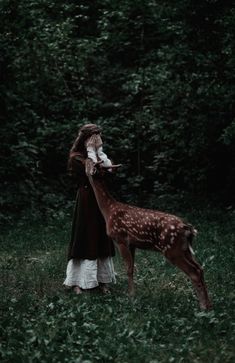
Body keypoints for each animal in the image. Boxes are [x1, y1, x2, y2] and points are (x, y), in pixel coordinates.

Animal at [85, 159, 212, 310]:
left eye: (90, 163)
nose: (86, 159)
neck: (108, 210)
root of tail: (188, 229)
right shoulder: (132, 244)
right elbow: (132, 268)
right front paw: (133, 293)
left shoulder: (120, 239)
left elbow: (127, 268)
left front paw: (131, 295)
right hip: (185, 249)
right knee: (200, 268)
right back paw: (208, 304)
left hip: (172, 249)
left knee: (194, 272)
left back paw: (203, 306)